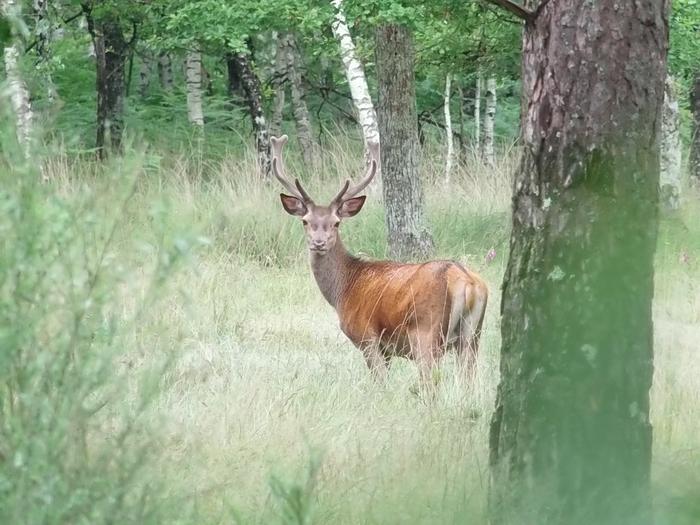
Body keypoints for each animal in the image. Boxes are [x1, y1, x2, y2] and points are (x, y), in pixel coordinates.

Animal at [270, 135, 490, 388]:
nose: (318, 243)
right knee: (469, 380)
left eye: (336, 222)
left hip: (426, 333)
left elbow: (380, 384)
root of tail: (466, 281)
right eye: (305, 221)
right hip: (473, 336)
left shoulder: (367, 338)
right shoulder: (386, 350)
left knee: (430, 383)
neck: (343, 290)